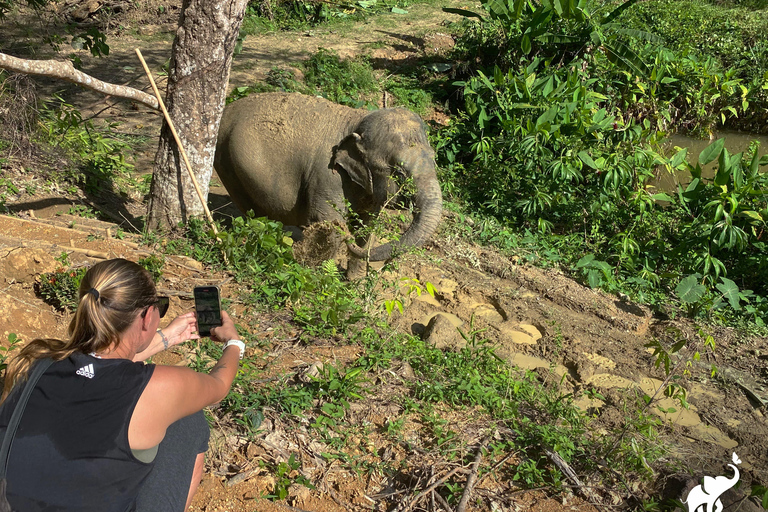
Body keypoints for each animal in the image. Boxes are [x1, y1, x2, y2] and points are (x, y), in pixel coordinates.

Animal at [214, 90, 444, 262]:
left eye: (434, 159)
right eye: (399, 171)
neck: (357, 119)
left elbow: (367, 224)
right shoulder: (326, 176)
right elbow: (328, 221)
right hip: (226, 161)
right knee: (252, 211)